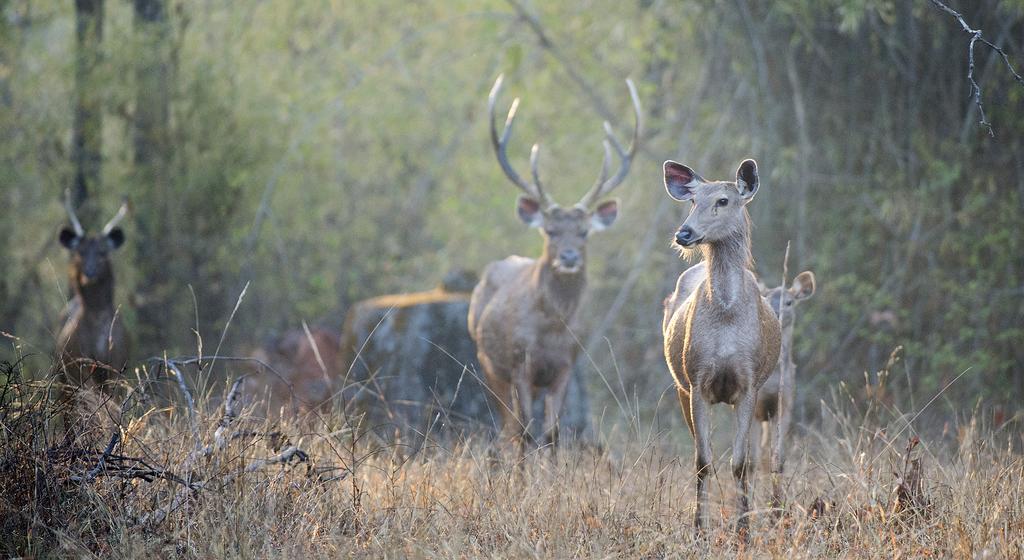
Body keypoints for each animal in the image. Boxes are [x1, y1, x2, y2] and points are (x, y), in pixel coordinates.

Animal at [56, 191, 130, 391]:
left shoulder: (116, 364)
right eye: (80, 252)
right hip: (62, 372)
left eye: (103, 252)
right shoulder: (79, 364)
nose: (89, 273)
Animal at [468, 74, 638, 448]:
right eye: (550, 230)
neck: (553, 328)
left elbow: (553, 433)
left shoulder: (565, 366)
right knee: (507, 428)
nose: (569, 256)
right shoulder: (521, 363)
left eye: (585, 232)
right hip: (488, 363)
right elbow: (524, 431)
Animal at [659, 159, 778, 536]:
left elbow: (741, 464)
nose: (683, 233)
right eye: (692, 201)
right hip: (681, 388)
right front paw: (699, 529)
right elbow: (702, 461)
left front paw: (744, 530)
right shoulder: (697, 381)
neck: (726, 319)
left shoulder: (750, 384)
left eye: (723, 201)